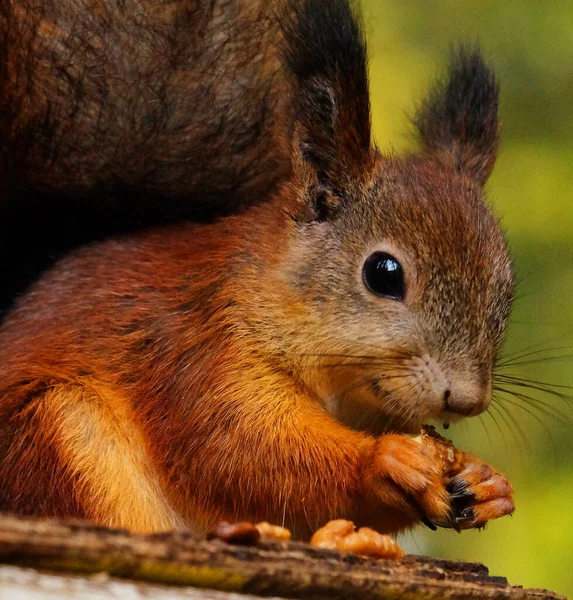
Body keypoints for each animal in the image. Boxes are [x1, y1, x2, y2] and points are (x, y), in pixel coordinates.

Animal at [0, 0, 512, 540]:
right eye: (384, 274)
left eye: (505, 291)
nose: (466, 400)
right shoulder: (199, 348)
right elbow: (237, 448)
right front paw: (383, 461)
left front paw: (488, 483)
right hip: (58, 435)